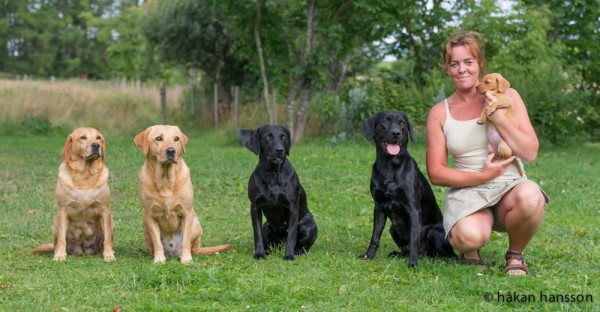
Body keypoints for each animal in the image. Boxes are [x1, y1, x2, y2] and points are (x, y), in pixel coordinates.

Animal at [32, 127, 116, 260]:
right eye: (83, 137)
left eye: (98, 137)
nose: (96, 145)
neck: (85, 176)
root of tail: (83, 249)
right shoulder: (62, 210)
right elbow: (62, 240)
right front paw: (60, 256)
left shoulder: (104, 209)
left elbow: (107, 238)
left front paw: (108, 255)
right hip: (55, 224)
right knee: (57, 243)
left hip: (111, 222)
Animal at [134, 124, 232, 264]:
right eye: (158, 138)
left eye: (176, 138)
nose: (171, 151)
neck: (165, 180)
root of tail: (172, 252)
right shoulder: (150, 214)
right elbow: (157, 243)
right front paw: (159, 259)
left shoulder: (186, 212)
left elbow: (185, 242)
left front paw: (186, 260)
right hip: (144, 222)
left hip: (196, 224)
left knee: (191, 247)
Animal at [245, 125, 318, 260]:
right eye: (268, 136)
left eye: (283, 137)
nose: (280, 150)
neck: (272, 174)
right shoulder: (255, 207)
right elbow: (257, 233)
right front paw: (259, 253)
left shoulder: (292, 208)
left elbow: (291, 234)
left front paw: (289, 255)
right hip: (267, 227)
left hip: (309, 226)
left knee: (304, 246)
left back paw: (297, 251)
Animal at [358, 109, 458, 266]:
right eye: (385, 121)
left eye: (402, 123)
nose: (396, 133)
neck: (390, 166)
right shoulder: (379, 206)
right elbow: (375, 235)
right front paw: (369, 255)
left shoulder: (413, 208)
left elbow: (414, 239)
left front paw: (413, 263)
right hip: (393, 228)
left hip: (433, 233)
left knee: (451, 256)